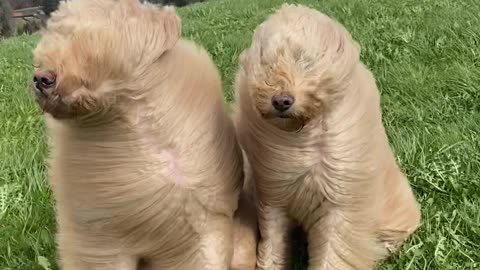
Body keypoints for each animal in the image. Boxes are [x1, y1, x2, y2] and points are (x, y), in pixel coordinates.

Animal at [232, 4, 420, 270]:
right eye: (268, 64)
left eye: (306, 62)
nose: (281, 101)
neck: (303, 136)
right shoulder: (274, 197)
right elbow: (272, 243)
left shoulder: (339, 206)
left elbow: (334, 252)